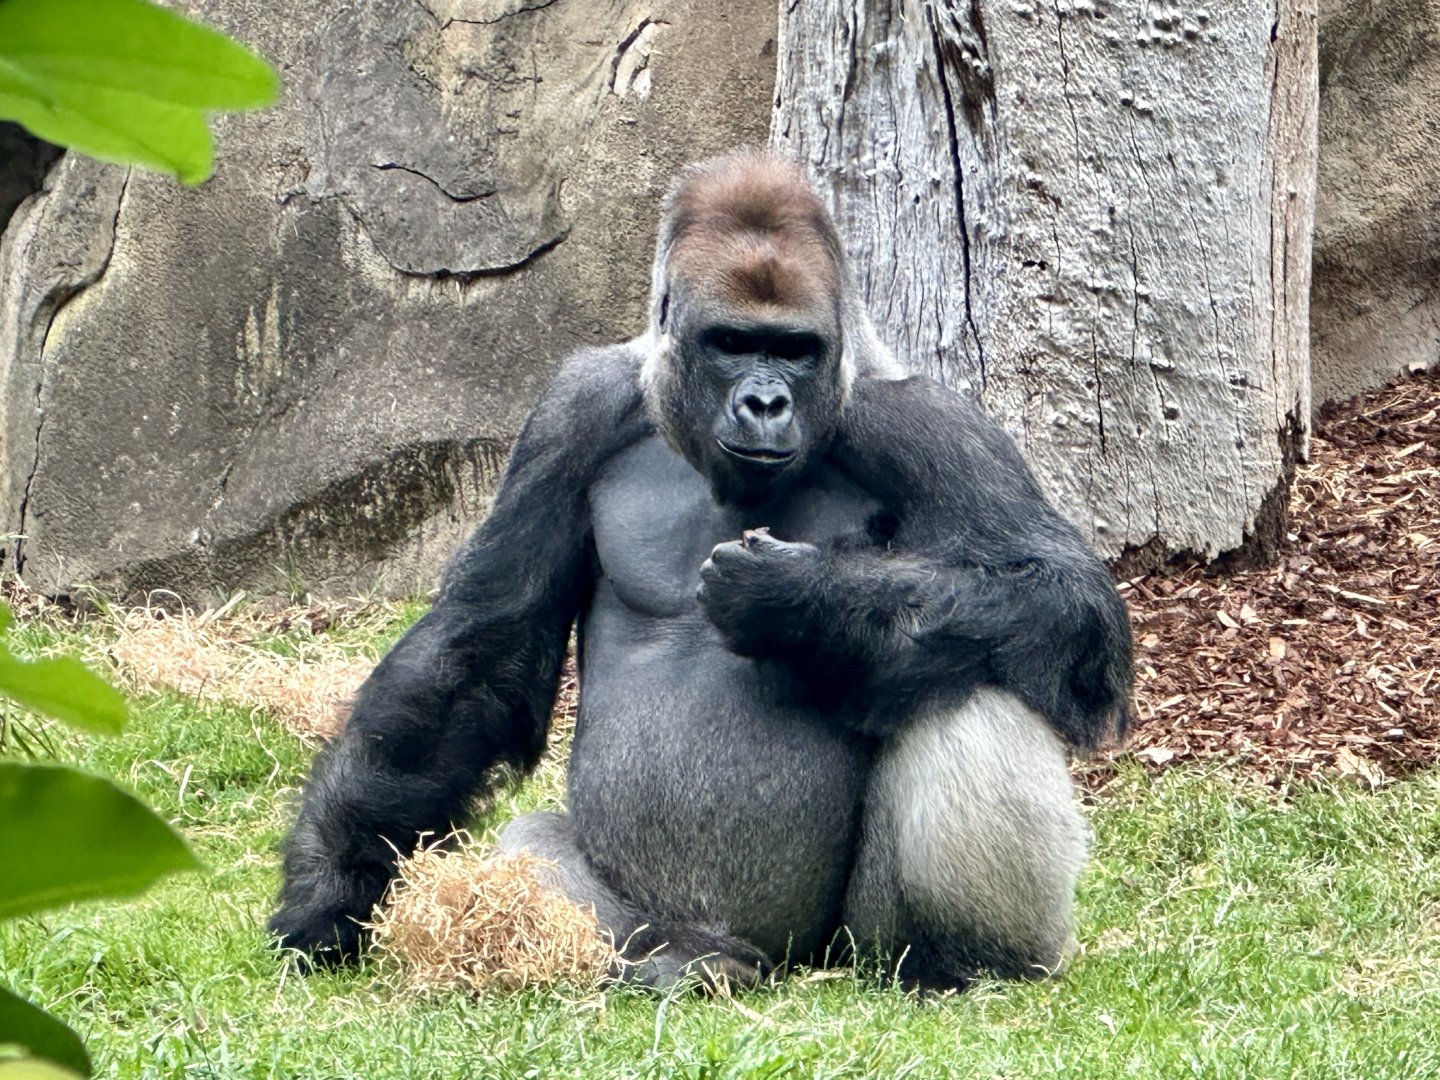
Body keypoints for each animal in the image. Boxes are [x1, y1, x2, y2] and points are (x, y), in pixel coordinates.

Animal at [269, 151, 1132, 991]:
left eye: (794, 350)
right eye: (732, 343)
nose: (765, 404)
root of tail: (776, 963)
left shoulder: (931, 421)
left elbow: (1061, 598)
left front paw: (804, 601)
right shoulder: (571, 412)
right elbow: (480, 649)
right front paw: (331, 885)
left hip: (843, 952)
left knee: (968, 678)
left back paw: (960, 962)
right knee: (539, 847)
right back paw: (685, 957)